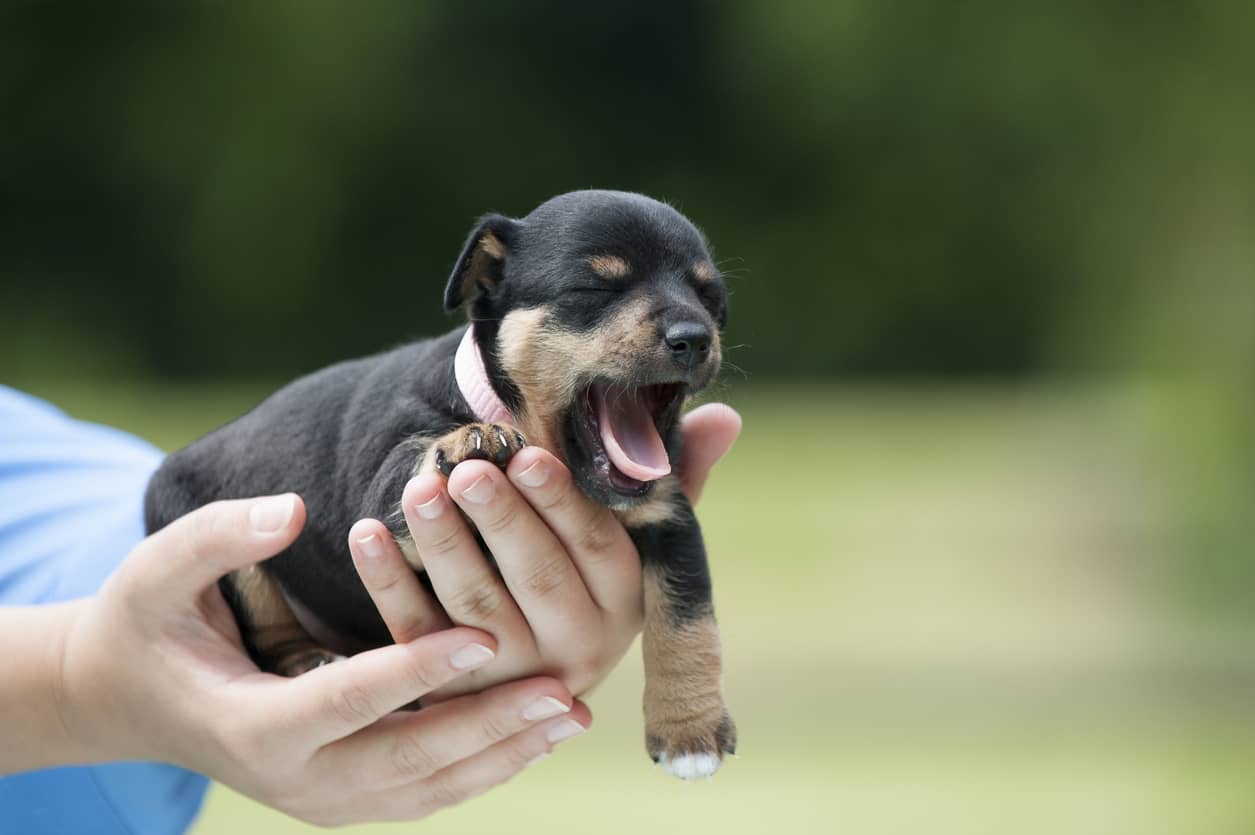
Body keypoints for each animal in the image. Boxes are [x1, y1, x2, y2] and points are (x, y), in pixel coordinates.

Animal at [144, 192, 732, 778]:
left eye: (710, 298)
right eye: (596, 289)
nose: (695, 338)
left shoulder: (670, 518)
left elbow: (686, 617)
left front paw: (690, 732)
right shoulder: (382, 505)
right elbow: (412, 465)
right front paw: (471, 441)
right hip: (209, 519)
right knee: (264, 620)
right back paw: (308, 659)